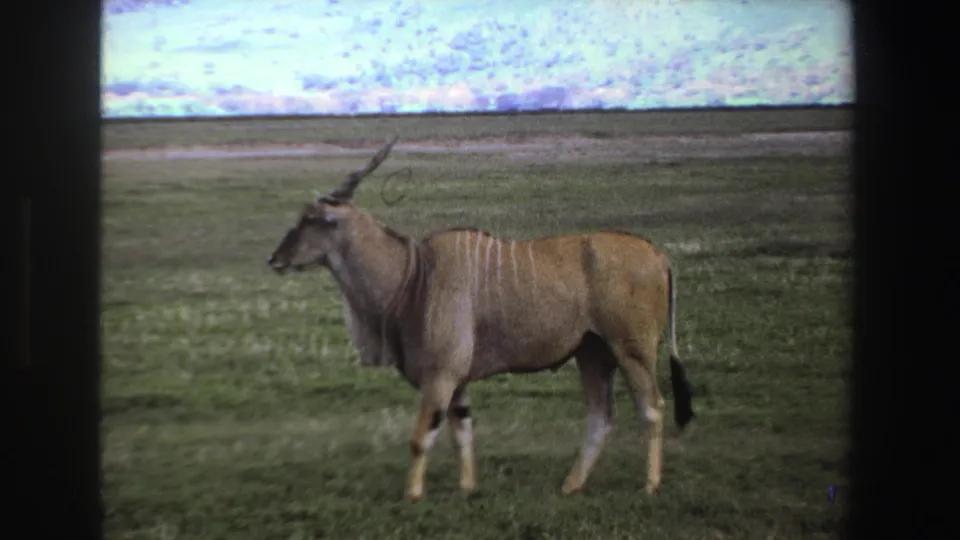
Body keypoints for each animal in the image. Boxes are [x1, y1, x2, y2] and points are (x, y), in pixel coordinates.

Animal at [266, 137, 695, 502]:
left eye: (311, 219)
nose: (274, 259)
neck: (413, 275)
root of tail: (658, 255)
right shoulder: (457, 382)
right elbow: (462, 432)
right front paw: (467, 489)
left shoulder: (440, 376)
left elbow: (421, 437)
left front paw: (412, 495)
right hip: (592, 353)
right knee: (600, 416)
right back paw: (571, 485)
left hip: (631, 350)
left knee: (652, 407)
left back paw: (650, 484)